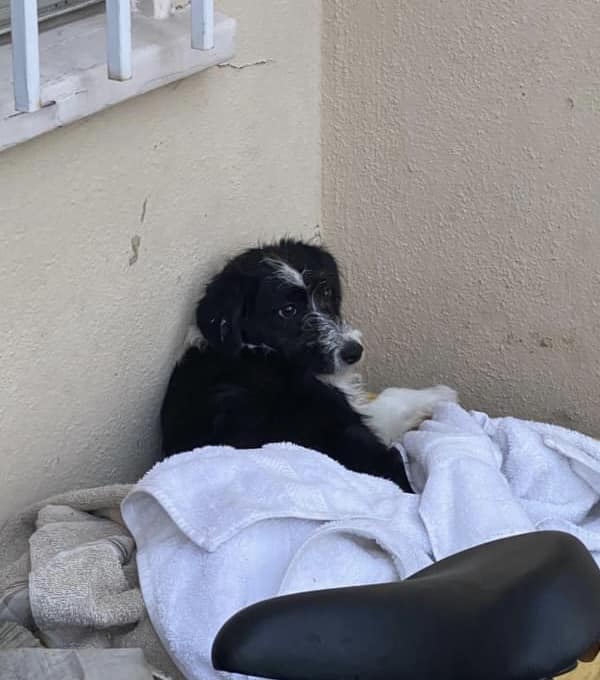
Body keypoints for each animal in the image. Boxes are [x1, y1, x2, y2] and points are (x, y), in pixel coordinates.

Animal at [159, 242, 454, 492]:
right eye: (287, 310)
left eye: (326, 292)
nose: (353, 352)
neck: (257, 350)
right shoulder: (356, 418)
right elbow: (387, 401)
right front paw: (441, 394)